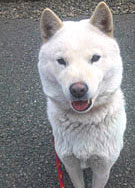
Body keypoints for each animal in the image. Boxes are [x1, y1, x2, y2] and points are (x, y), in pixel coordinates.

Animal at [37, 1, 125, 188]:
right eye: (61, 61)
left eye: (95, 58)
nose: (78, 89)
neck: (85, 119)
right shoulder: (71, 164)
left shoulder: (102, 167)